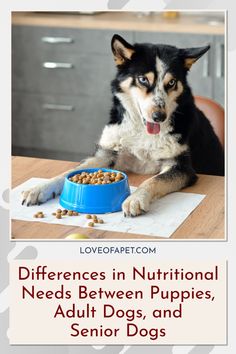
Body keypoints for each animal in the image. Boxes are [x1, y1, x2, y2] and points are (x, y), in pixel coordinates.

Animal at [21, 34, 224, 216]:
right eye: (143, 79)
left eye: (172, 82)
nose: (159, 116)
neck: (142, 131)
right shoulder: (107, 155)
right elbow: (69, 171)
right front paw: (39, 188)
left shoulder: (181, 167)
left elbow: (153, 180)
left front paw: (135, 198)